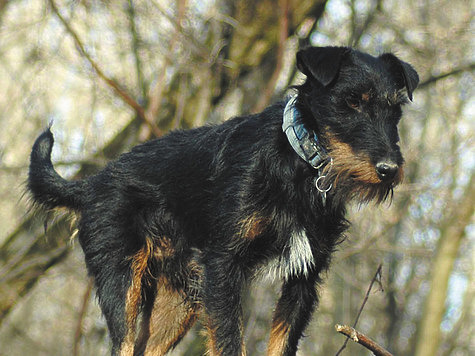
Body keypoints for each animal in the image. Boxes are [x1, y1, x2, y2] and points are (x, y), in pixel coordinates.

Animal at [27, 46, 418, 354]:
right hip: (123, 281)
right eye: (351, 102)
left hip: (180, 300)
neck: (299, 165)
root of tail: (92, 183)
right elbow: (230, 342)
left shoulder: (304, 279)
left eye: (395, 111)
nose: (389, 169)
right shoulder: (223, 266)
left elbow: (282, 342)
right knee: (122, 343)